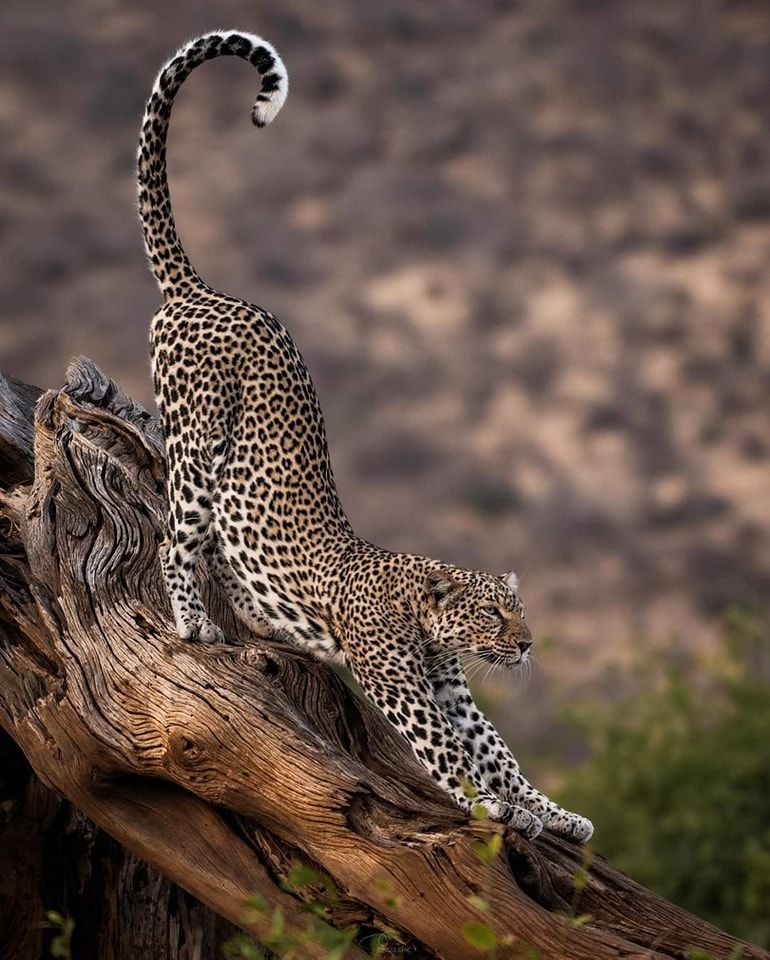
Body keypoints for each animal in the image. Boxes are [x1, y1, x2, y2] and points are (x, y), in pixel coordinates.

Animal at [139, 28, 593, 842]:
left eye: (519, 610)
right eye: (493, 614)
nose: (525, 643)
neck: (427, 619)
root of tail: (202, 291)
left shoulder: (454, 688)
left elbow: (499, 750)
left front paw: (553, 813)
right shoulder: (402, 683)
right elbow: (450, 754)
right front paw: (491, 808)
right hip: (196, 439)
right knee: (175, 535)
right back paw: (196, 625)